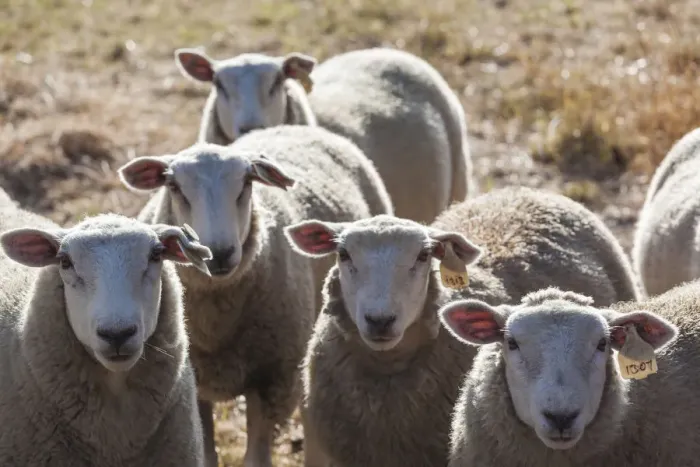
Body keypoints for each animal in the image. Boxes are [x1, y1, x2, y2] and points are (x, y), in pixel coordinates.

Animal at [117, 124, 393, 467]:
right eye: (174, 186)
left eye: (246, 183)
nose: (218, 254)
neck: (214, 323)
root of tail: (294, 127)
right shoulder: (194, 383)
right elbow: (207, 456)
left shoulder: (272, 381)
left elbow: (256, 458)